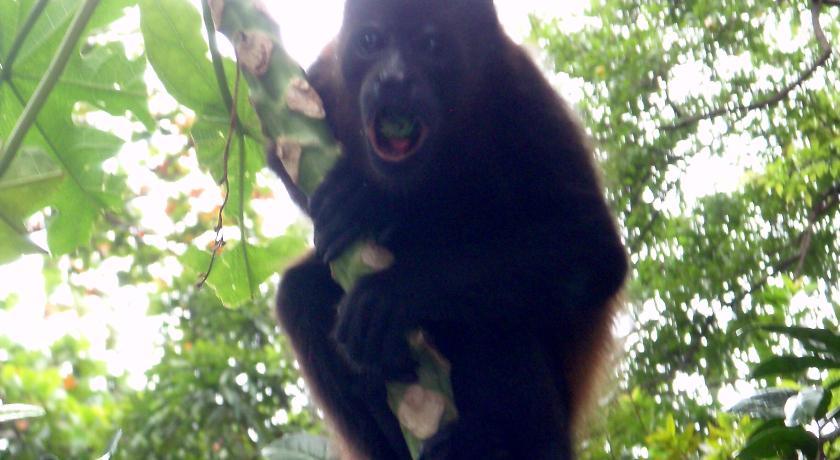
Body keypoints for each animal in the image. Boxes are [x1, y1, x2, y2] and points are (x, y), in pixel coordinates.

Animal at [272, 0, 628, 458]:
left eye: (430, 44)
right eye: (370, 41)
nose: (393, 79)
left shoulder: (520, 93)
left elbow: (593, 249)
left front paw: (389, 258)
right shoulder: (324, 76)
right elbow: (281, 151)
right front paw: (361, 202)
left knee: (496, 319)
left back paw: (488, 442)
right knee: (301, 295)